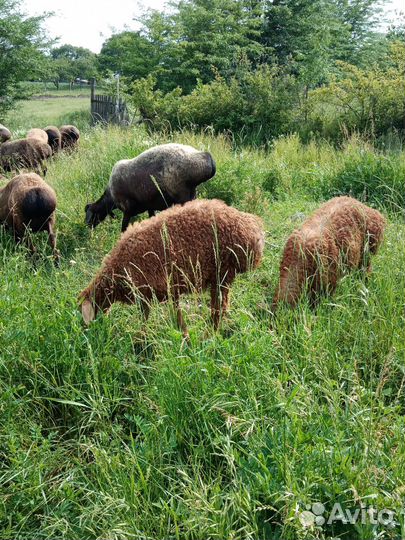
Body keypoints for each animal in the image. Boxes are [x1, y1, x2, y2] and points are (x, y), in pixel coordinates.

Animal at [78, 198, 264, 336]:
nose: (86, 331)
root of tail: (252, 230)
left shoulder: (159, 289)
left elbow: (166, 319)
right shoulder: (159, 293)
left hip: (223, 272)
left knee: (219, 309)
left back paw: (208, 336)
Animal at [84, 142, 216, 231]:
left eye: (91, 215)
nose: (87, 227)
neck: (110, 197)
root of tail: (204, 156)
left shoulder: (127, 209)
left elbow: (123, 228)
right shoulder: (149, 206)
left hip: (182, 196)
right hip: (191, 194)